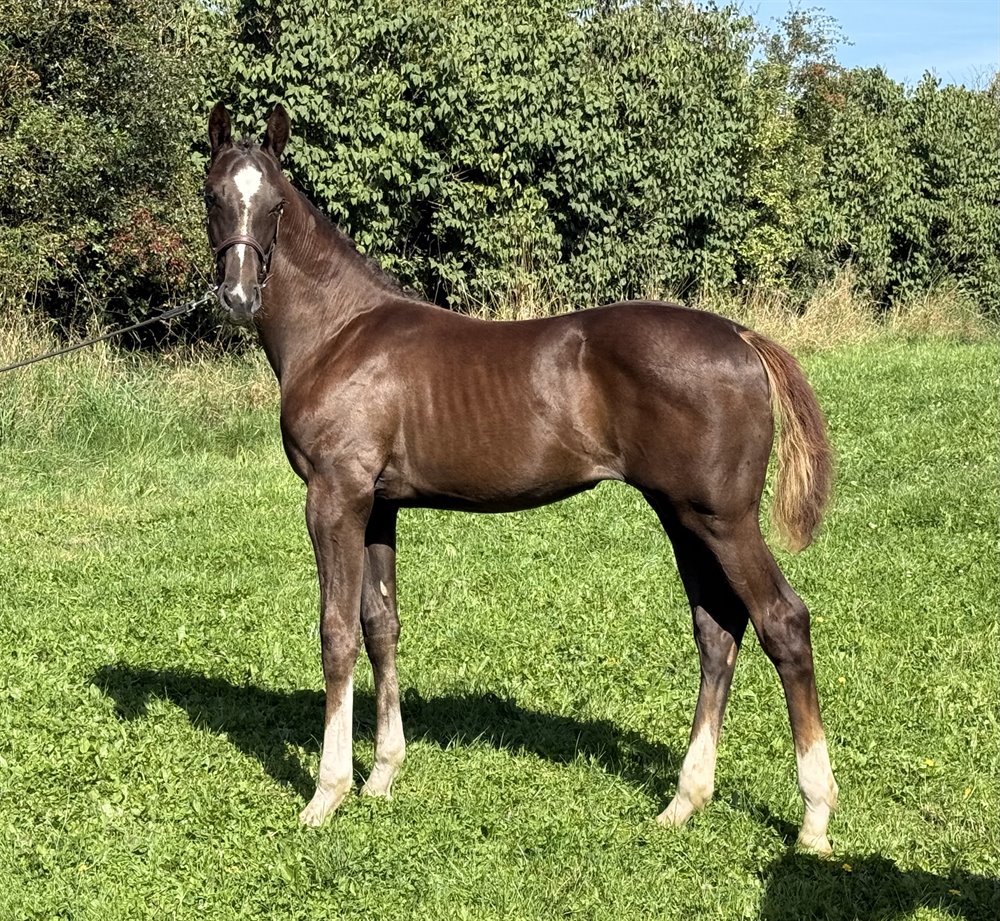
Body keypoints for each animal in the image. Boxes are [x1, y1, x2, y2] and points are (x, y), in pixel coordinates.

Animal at [203, 102, 839, 854]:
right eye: (215, 197)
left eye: (274, 204)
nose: (239, 296)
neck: (338, 331)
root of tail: (744, 337)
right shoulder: (379, 506)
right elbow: (381, 624)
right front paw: (382, 774)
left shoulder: (335, 497)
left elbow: (337, 633)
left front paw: (326, 793)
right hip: (683, 515)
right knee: (718, 631)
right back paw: (685, 800)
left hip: (724, 519)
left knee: (782, 622)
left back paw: (814, 818)